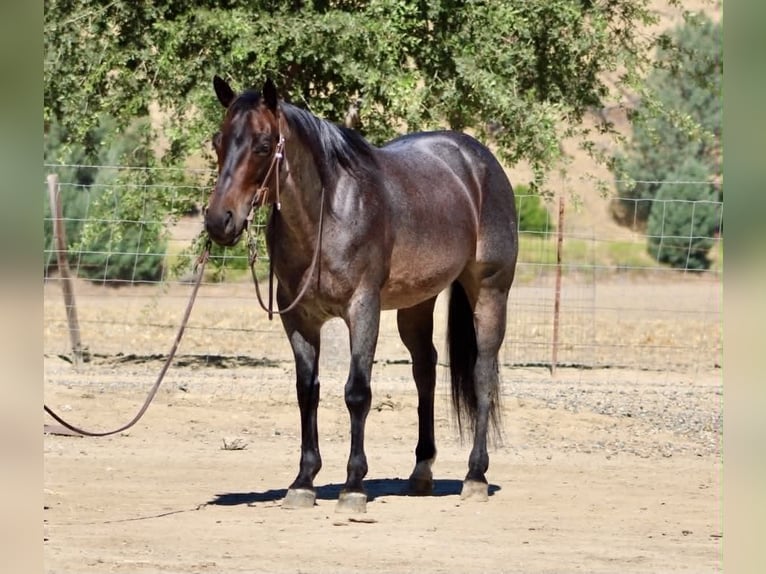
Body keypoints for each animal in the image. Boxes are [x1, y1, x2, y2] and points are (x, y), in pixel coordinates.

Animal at [204, 76, 518, 513]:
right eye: (218, 142)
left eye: (263, 145)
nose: (219, 221)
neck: (329, 214)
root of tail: (480, 160)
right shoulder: (298, 318)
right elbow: (307, 391)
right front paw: (303, 482)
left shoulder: (363, 308)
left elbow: (357, 392)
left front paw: (353, 486)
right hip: (416, 303)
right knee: (425, 370)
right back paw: (421, 471)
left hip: (490, 292)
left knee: (483, 373)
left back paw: (475, 475)